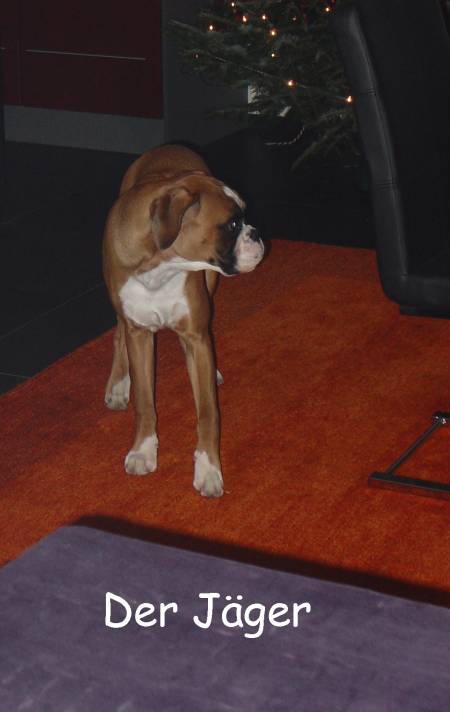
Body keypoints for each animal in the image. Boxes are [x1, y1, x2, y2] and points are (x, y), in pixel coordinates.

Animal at [103, 144, 264, 497]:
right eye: (232, 224)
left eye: (242, 219)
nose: (257, 234)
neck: (160, 265)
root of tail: (170, 145)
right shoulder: (139, 334)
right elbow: (144, 402)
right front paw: (143, 450)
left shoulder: (196, 335)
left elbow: (208, 412)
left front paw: (208, 469)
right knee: (119, 333)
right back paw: (119, 383)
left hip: (209, 290)